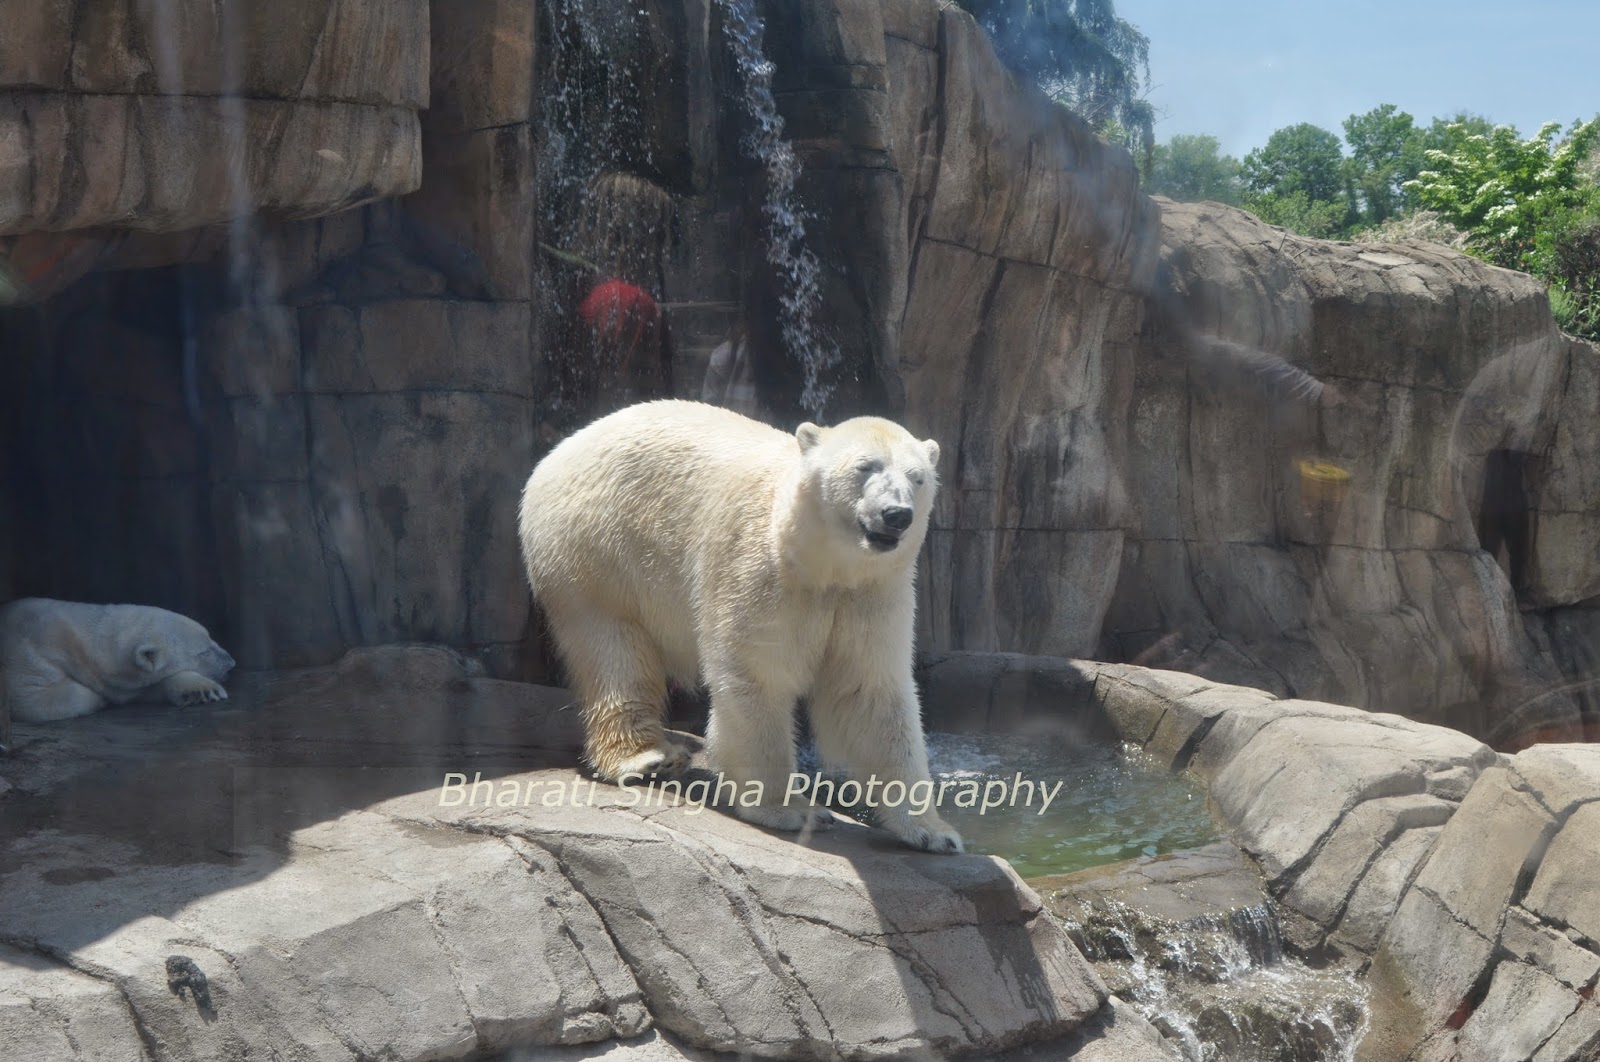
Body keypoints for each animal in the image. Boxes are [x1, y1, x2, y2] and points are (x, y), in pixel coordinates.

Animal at [0, 599, 236, 723]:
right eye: (204, 651)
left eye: (210, 637)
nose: (231, 664)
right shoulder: (29, 649)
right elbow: (30, 695)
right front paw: (100, 699)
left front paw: (203, 691)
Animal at [517, 399, 962, 853]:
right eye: (865, 466)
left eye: (918, 477)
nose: (897, 515)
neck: (817, 564)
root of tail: (563, 448)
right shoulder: (759, 572)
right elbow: (758, 674)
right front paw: (791, 809)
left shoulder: (870, 594)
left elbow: (868, 691)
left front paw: (933, 832)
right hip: (595, 546)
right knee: (612, 645)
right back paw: (649, 757)